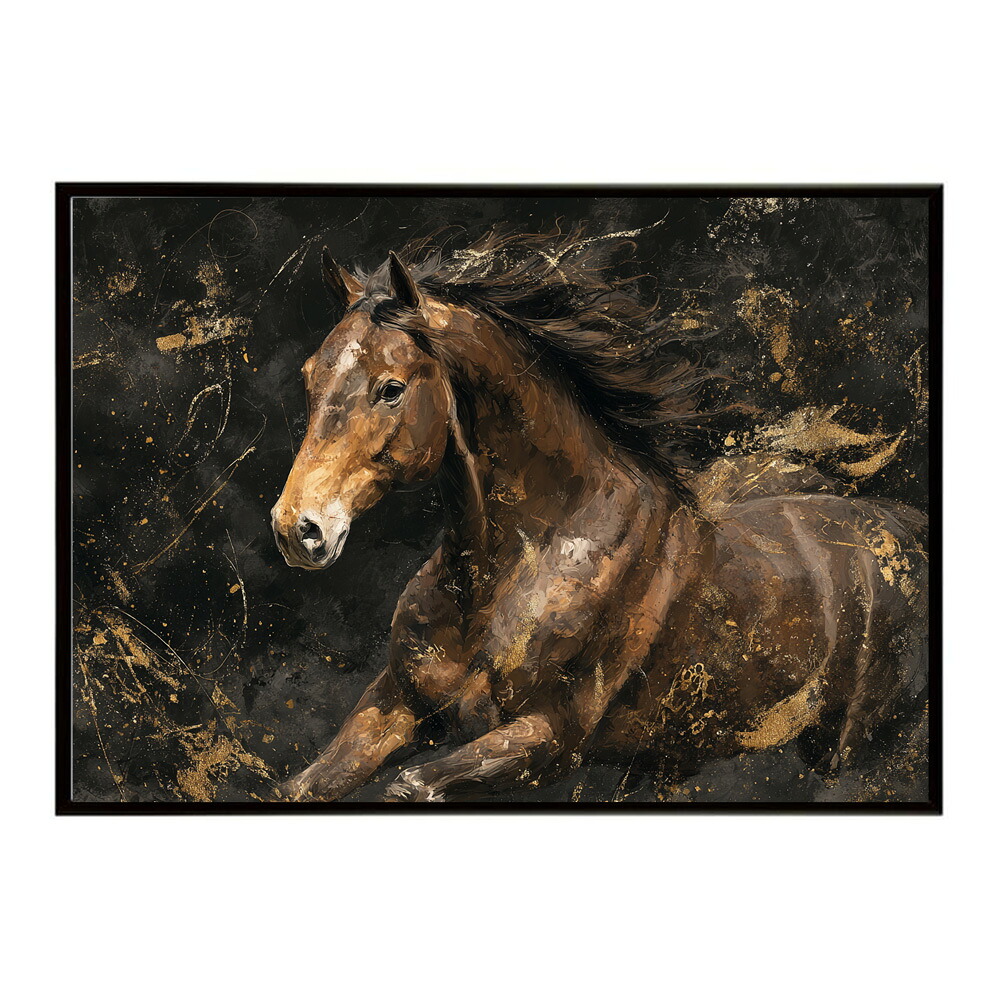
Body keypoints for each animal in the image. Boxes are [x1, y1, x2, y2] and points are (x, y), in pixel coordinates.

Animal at [269, 230, 928, 802]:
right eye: (309, 376)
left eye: (391, 388)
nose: (297, 528)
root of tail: (901, 525)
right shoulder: (393, 703)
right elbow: (300, 787)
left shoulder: (545, 741)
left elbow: (411, 785)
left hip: (847, 747)